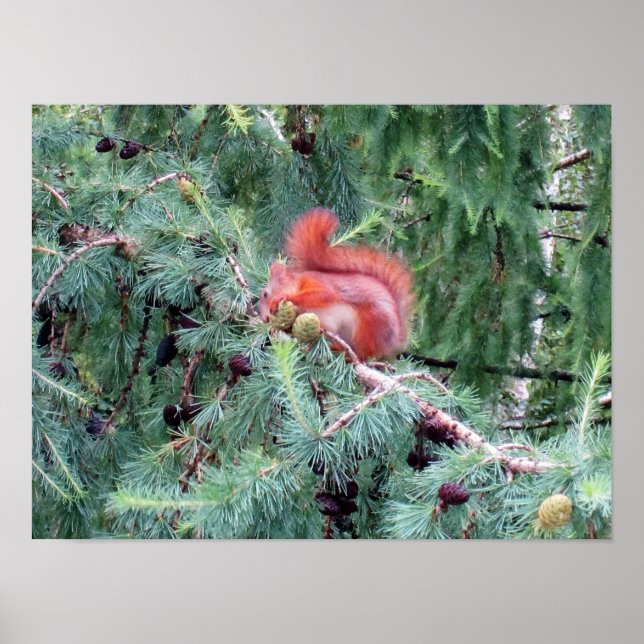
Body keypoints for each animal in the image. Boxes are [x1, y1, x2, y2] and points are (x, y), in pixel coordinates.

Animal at [259, 208, 413, 360]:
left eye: (265, 294)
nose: (263, 317)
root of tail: (394, 342)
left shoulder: (317, 281)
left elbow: (323, 294)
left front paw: (282, 299)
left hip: (370, 325)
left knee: (363, 355)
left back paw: (345, 353)